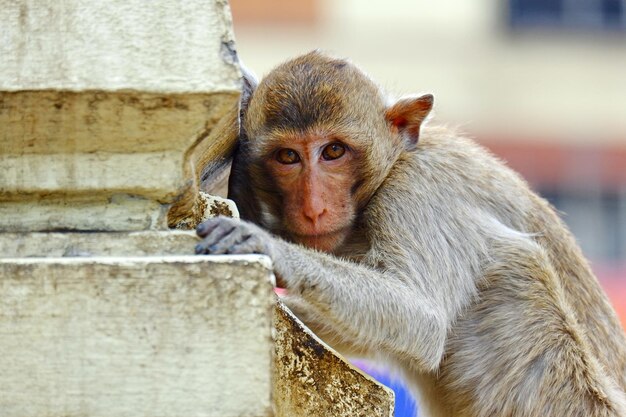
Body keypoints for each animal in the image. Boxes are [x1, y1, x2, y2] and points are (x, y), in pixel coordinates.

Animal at [195, 52, 624, 416]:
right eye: (288, 157)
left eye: (333, 151)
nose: (313, 208)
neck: (394, 165)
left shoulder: (418, 191)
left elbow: (424, 319)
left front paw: (266, 247)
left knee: (517, 264)